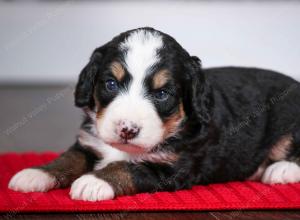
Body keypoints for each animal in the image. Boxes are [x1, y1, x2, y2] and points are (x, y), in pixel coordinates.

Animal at [8, 27, 300, 201]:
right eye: (110, 84)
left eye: (162, 94)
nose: (127, 129)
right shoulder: (89, 143)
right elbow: (68, 158)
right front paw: (36, 173)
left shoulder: (173, 167)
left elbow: (128, 168)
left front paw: (93, 181)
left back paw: (281, 169)